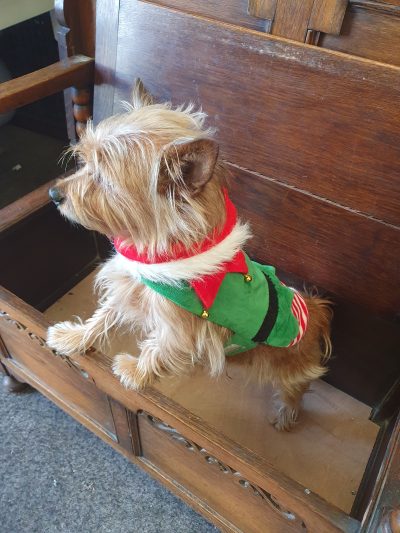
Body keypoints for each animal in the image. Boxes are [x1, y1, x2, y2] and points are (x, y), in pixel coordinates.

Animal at [46, 83, 332, 432]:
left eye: (105, 180)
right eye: (85, 162)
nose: (54, 194)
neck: (157, 251)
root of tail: (316, 312)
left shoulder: (178, 329)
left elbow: (158, 348)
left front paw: (135, 372)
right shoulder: (130, 287)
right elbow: (103, 316)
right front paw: (74, 338)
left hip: (290, 369)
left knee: (295, 391)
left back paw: (285, 416)